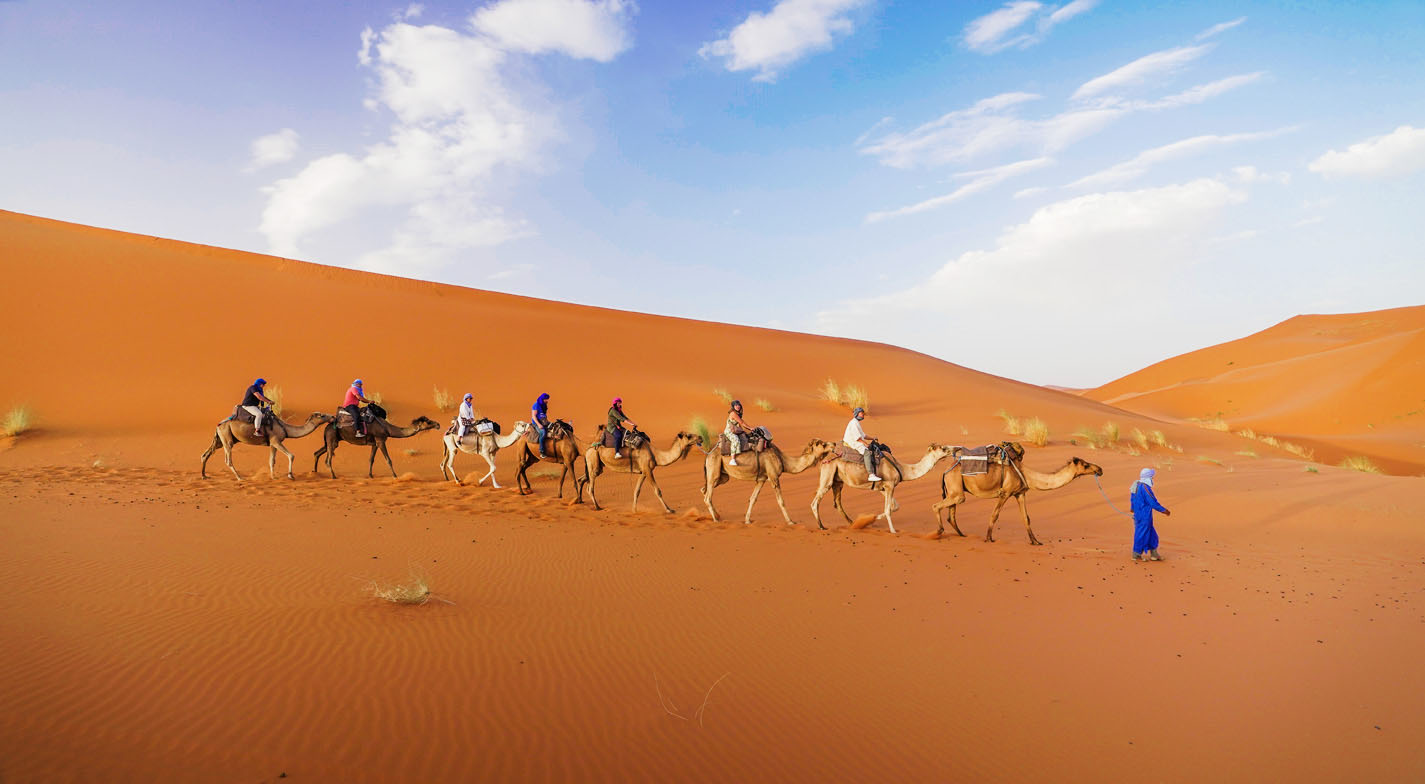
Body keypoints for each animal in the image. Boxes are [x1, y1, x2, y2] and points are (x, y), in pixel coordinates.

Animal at [200, 410, 333, 478]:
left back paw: (204, 475)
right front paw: (290, 475)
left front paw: (273, 477)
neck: (285, 428)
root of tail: (218, 425)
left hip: (219, 440)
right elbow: (291, 455)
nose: (332, 417)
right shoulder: (276, 440)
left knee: (205, 454)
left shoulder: (273, 444)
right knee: (228, 459)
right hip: (227, 439)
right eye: (322, 415)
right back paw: (239, 477)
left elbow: (271, 461)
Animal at [706, 439, 837, 524]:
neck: (782, 460)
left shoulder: (761, 479)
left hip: (723, 476)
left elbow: (753, 499)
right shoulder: (774, 477)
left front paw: (747, 520)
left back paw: (717, 515)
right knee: (707, 496)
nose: (834, 444)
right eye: (823, 444)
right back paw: (716, 520)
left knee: (704, 490)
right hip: (714, 471)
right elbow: (781, 501)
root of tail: (708, 454)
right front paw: (790, 521)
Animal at [815, 444, 957, 538]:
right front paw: (893, 531)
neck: (902, 468)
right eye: (943, 448)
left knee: (837, 502)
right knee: (815, 501)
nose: (956, 449)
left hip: (838, 481)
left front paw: (870, 519)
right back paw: (821, 526)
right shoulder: (889, 485)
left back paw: (852, 523)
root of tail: (824, 460)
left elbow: (894, 506)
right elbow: (888, 510)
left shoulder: (882, 488)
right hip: (828, 476)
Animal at [929, 456, 1105, 547]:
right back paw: (938, 532)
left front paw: (1036, 541)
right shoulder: (1005, 493)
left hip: (955, 488)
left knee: (951, 513)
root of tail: (945, 471)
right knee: (937, 505)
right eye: (1085, 465)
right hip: (956, 488)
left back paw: (962, 535)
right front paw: (989, 539)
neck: (1027, 474)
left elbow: (1026, 518)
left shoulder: (1020, 494)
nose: (1100, 469)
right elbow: (995, 515)